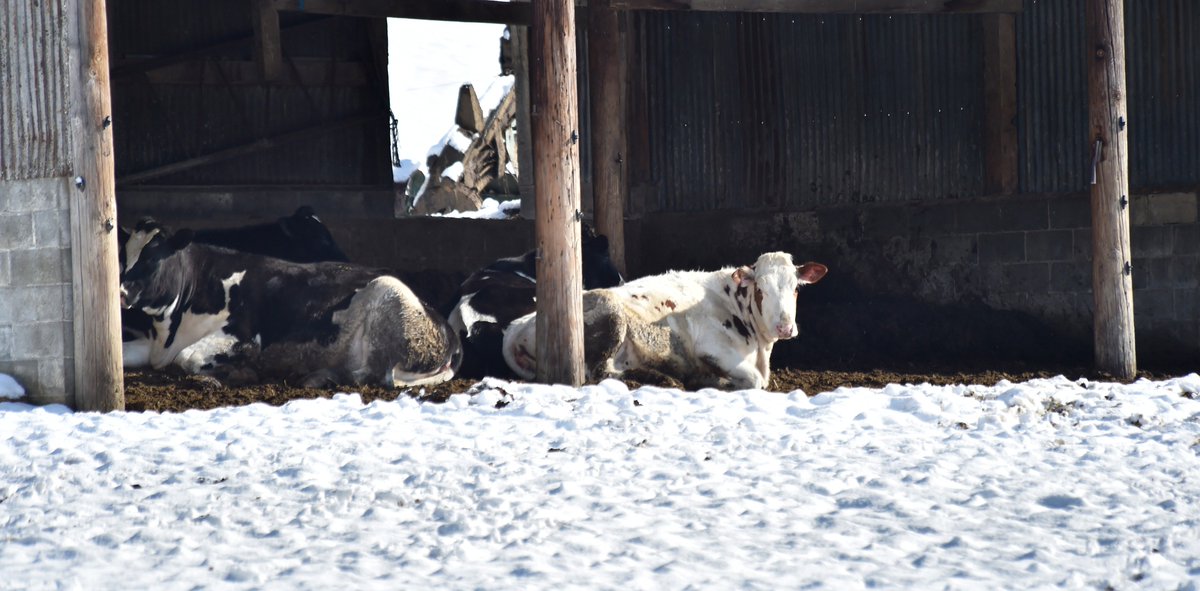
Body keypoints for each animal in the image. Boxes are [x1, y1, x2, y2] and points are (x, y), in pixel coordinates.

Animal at [119, 226, 461, 388]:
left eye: (152, 258)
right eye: (122, 256)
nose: (120, 291)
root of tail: (450, 334)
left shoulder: (245, 336)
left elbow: (187, 358)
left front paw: (238, 372)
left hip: (387, 296)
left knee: (372, 375)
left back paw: (314, 376)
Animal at [501, 252, 827, 391]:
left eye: (796, 289)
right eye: (761, 289)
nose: (784, 327)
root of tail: (515, 327)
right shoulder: (713, 347)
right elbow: (755, 381)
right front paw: (706, 379)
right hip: (609, 314)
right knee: (595, 373)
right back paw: (665, 379)